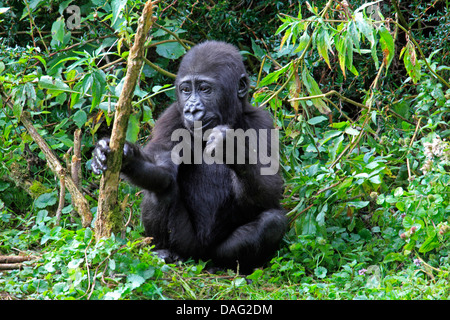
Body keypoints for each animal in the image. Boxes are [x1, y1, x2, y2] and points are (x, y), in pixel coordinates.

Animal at [92, 40, 286, 272]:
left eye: (204, 89)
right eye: (185, 90)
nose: (192, 110)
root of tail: (200, 257)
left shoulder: (263, 123)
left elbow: (270, 192)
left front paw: (231, 147)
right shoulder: (171, 118)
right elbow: (162, 169)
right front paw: (125, 157)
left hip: (212, 252)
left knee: (272, 223)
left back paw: (226, 265)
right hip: (187, 246)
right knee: (162, 188)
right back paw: (166, 252)